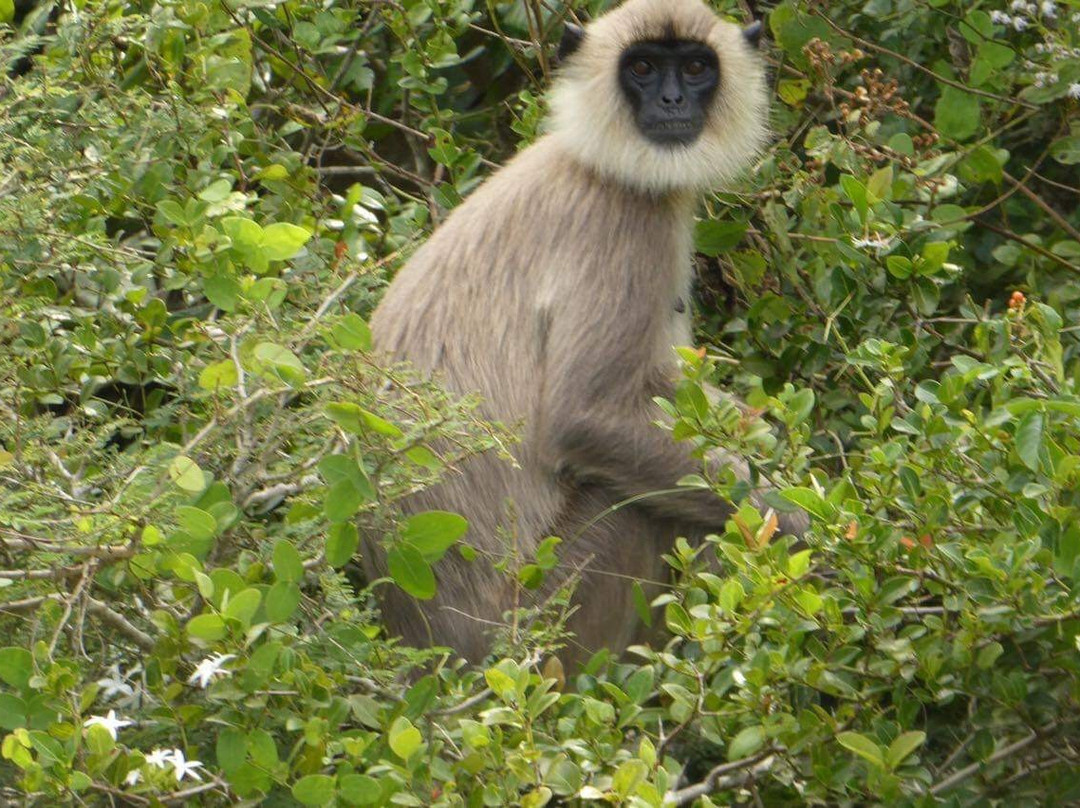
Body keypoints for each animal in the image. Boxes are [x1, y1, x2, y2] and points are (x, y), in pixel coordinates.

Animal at [362, 0, 803, 665]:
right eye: (642, 68)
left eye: (696, 68)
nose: (672, 101)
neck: (589, 159)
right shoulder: (624, 223)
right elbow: (584, 419)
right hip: (545, 616)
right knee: (633, 506)